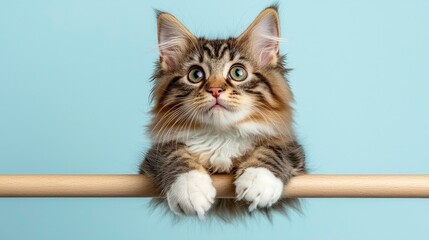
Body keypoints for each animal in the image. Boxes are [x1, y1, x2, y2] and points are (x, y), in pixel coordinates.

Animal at [140, 5, 304, 219]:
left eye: (237, 72)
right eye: (195, 75)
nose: (215, 90)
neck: (221, 135)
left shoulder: (293, 149)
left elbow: (273, 150)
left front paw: (258, 180)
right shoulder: (153, 156)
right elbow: (173, 154)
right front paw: (190, 188)